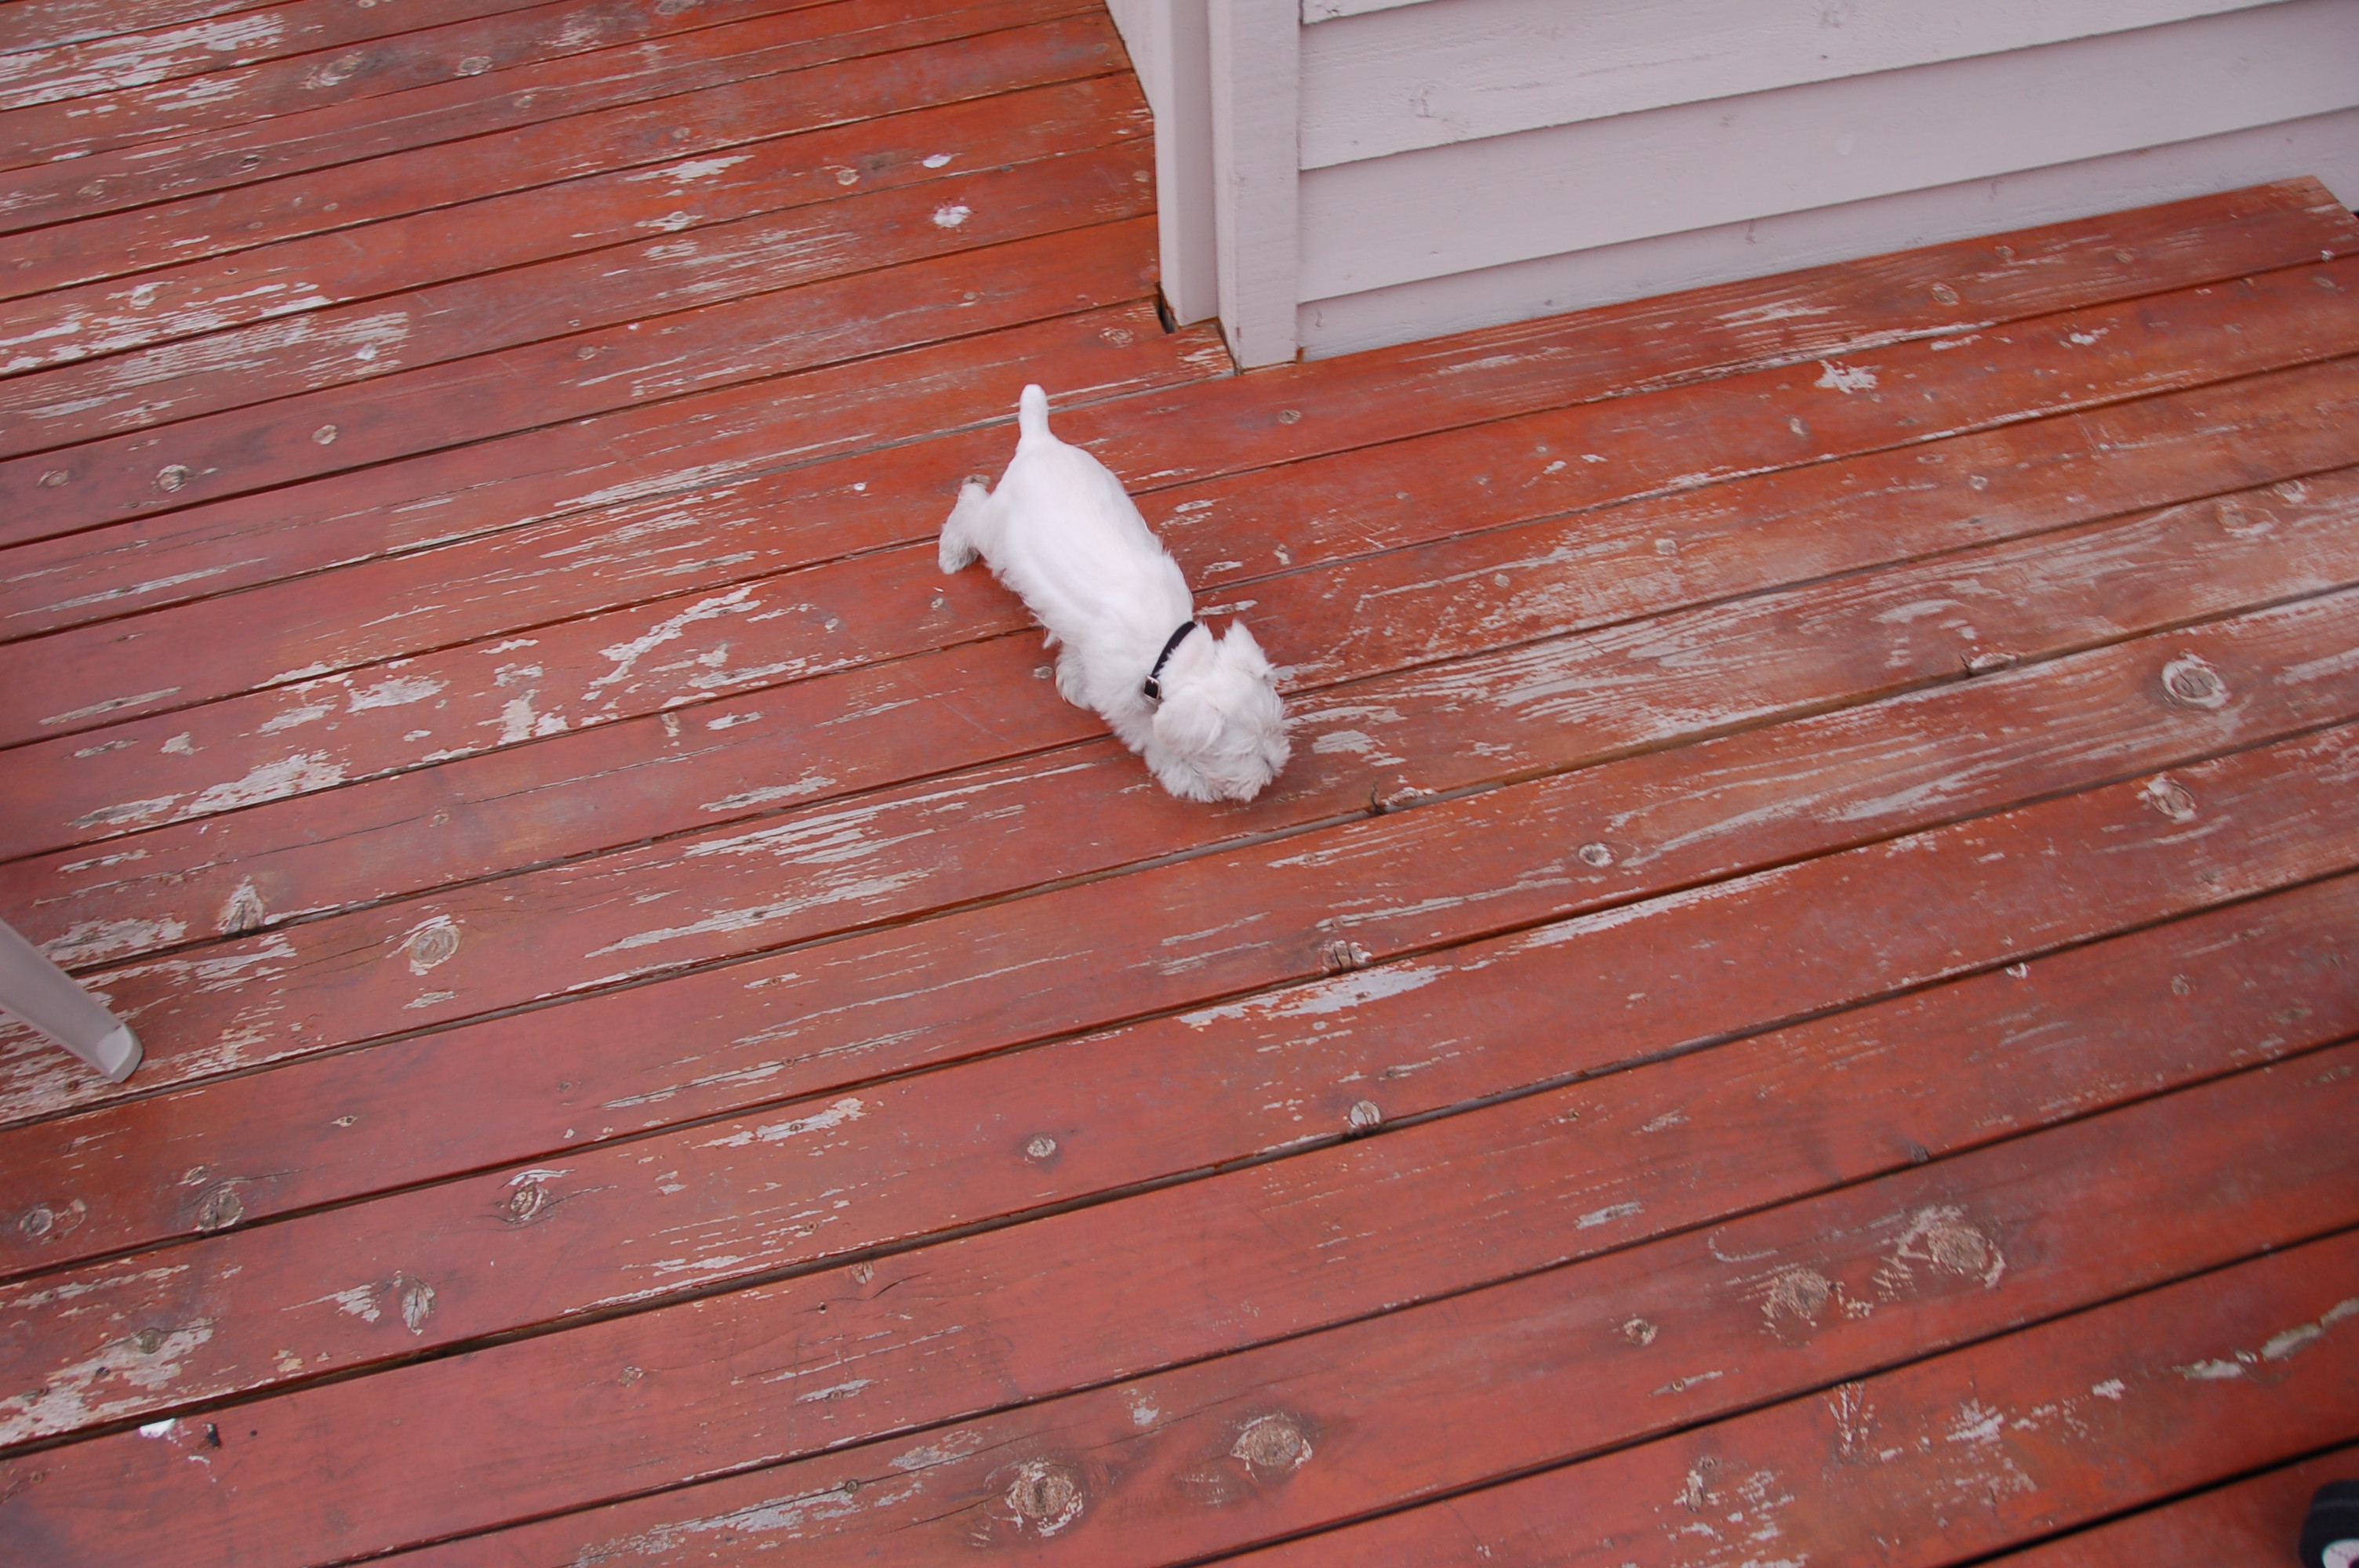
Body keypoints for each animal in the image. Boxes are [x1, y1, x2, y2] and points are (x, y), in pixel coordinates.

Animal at [938, 384, 1290, 802]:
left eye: (1273, 728)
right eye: (1243, 752)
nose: (1273, 770)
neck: (1168, 651)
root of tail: (1040, 440)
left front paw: (1073, 679)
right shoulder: (1124, 703)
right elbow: (1153, 737)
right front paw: (1187, 778)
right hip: (994, 531)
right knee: (970, 502)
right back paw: (953, 553)